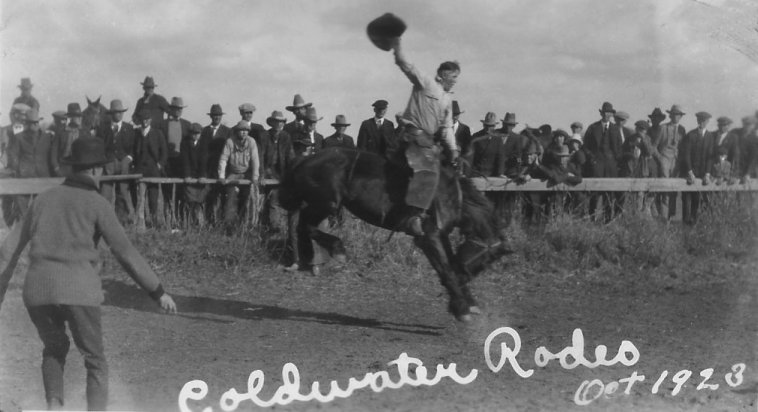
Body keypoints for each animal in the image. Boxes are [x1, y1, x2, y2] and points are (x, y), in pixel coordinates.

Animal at [276, 147, 512, 322]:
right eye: (487, 259)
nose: (466, 275)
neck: (451, 196)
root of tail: (304, 159)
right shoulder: (428, 237)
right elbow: (446, 269)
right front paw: (462, 308)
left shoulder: (441, 235)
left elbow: (451, 264)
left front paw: (467, 302)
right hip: (326, 204)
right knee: (304, 225)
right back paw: (335, 250)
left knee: (303, 226)